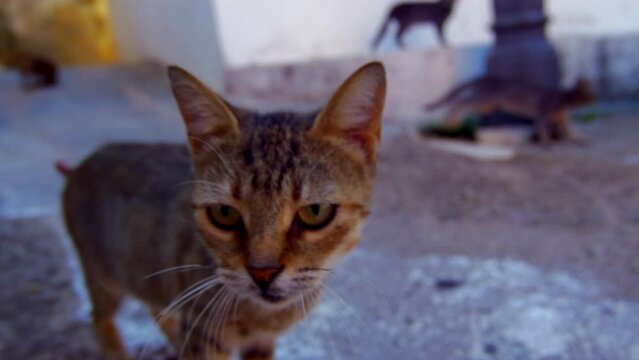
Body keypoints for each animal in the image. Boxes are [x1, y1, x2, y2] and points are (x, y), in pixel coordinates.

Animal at [62, 60, 388, 358]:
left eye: (315, 212)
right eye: (224, 214)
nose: (263, 273)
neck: (262, 316)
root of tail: (80, 165)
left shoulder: (259, 343)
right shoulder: (203, 333)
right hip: (104, 279)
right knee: (100, 317)